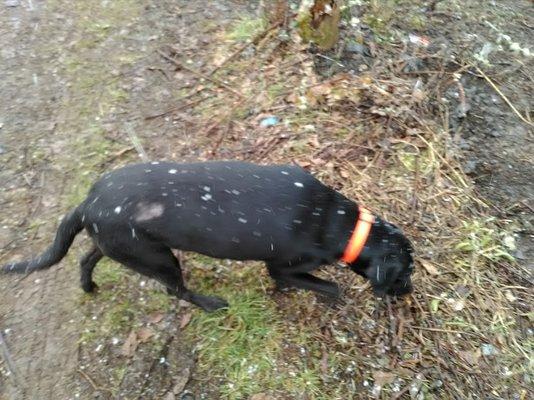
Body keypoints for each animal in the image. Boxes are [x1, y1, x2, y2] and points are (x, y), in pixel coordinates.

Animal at [1, 161, 414, 310]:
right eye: (406, 273)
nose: (408, 294)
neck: (336, 220)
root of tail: (87, 204)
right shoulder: (283, 267)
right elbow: (331, 286)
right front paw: (329, 298)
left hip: (122, 246)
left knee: (87, 259)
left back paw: (88, 286)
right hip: (160, 260)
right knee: (177, 291)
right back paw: (211, 304)